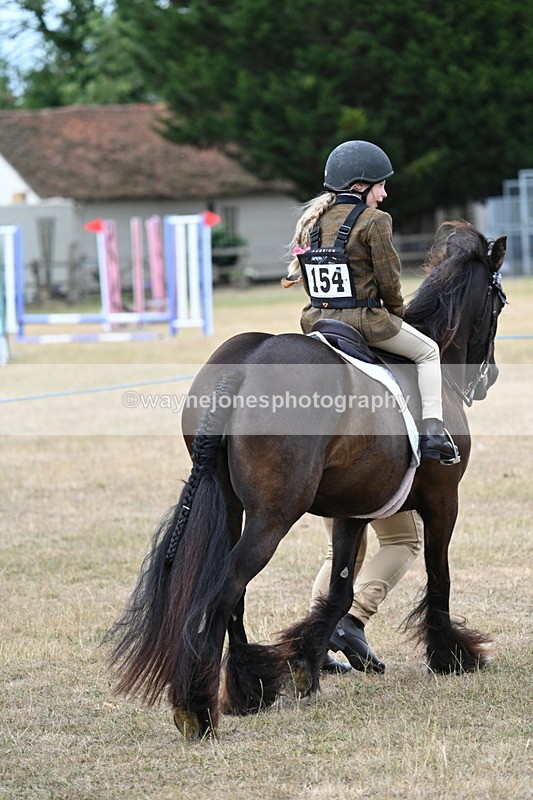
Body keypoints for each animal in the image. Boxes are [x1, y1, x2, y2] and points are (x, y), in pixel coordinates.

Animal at [107, 222, 507, 740]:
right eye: (499, 303)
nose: (488, 376)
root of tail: (241, 366)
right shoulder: (443, 501)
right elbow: (440, 577)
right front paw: (451, 655)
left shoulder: (354, 510)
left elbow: (339, 590)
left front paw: (307, 666)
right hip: (273, 517)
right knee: (225, 589)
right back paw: (199, 709)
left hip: (234, 508)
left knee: (233, 591)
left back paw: (249, 688)